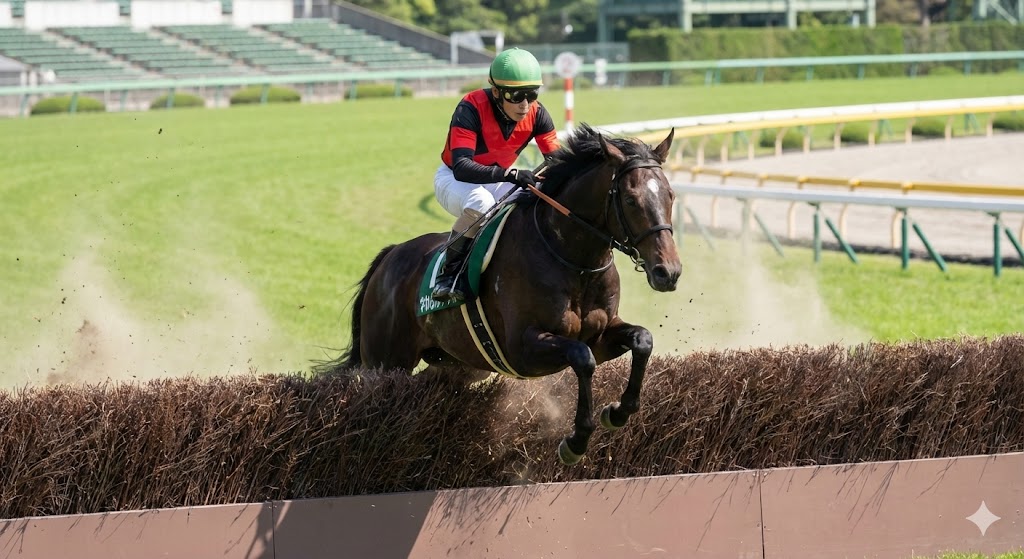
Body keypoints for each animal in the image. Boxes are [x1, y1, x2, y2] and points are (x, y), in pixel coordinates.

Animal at [319, 123, 680, 464]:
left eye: (671, 195)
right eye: (631, 199)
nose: (668, 272)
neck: (571, 258)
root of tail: (390, 256)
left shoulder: (602, 335)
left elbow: (642, 340)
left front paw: (617, 412)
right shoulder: (522, 348)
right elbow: (582, 358)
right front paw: (576, 441)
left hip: (456, 364)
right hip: (385, 360)